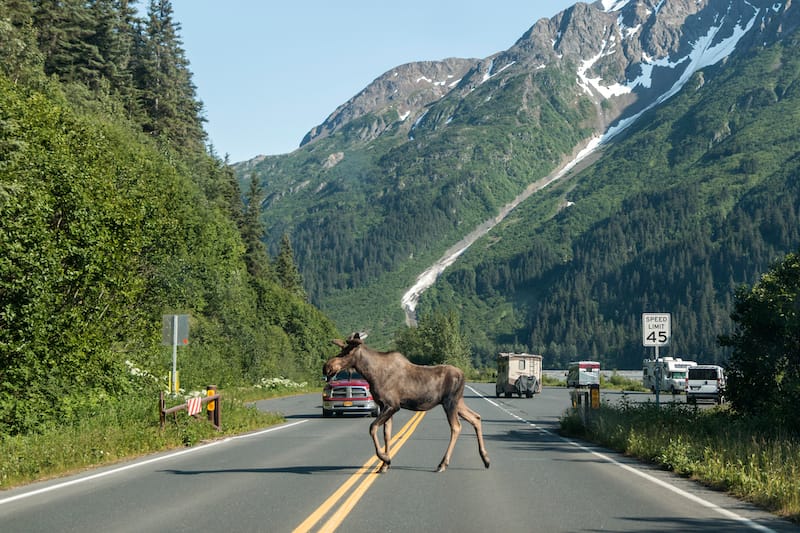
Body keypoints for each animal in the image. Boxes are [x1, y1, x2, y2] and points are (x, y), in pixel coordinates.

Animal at [322, 332, 490, 474]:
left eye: (348, 352)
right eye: (341, 349)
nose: (326, 367)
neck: (371, 374)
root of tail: (463, 375)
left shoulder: (393, 405)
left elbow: (372, 428)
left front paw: (385, 458)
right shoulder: (384, 405)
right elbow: (387, 434)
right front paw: (384, 465)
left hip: (450, 402)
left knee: (456, 427)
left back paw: (443, 464)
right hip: (458, 403)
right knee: (476, 417)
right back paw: (486, 459)